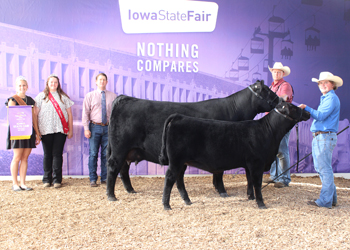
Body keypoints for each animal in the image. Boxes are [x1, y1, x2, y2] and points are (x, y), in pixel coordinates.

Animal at [106, 80, 278, 201]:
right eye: (267, 90)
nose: (280, 99)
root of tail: (124, 98)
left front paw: (218, 189)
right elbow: (219, 172)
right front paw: (222, 191)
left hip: (129, 150)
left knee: (123, 169)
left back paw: (130, 190)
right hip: (120, 148)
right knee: (114, 167)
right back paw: (111, 195)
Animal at [160, 101, 310, 209]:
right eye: (293, 107)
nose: (308, 112)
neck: (269, 131)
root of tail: (179, 117)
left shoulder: (249, 164)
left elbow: (250, 181)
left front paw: (250, 197)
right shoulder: (257, 163)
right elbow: (257, 183)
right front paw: (261, 203)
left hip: (182, 163)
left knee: (179, 180)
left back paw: (187, 201)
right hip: (176, 161)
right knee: (170, 178)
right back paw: (166, 205)